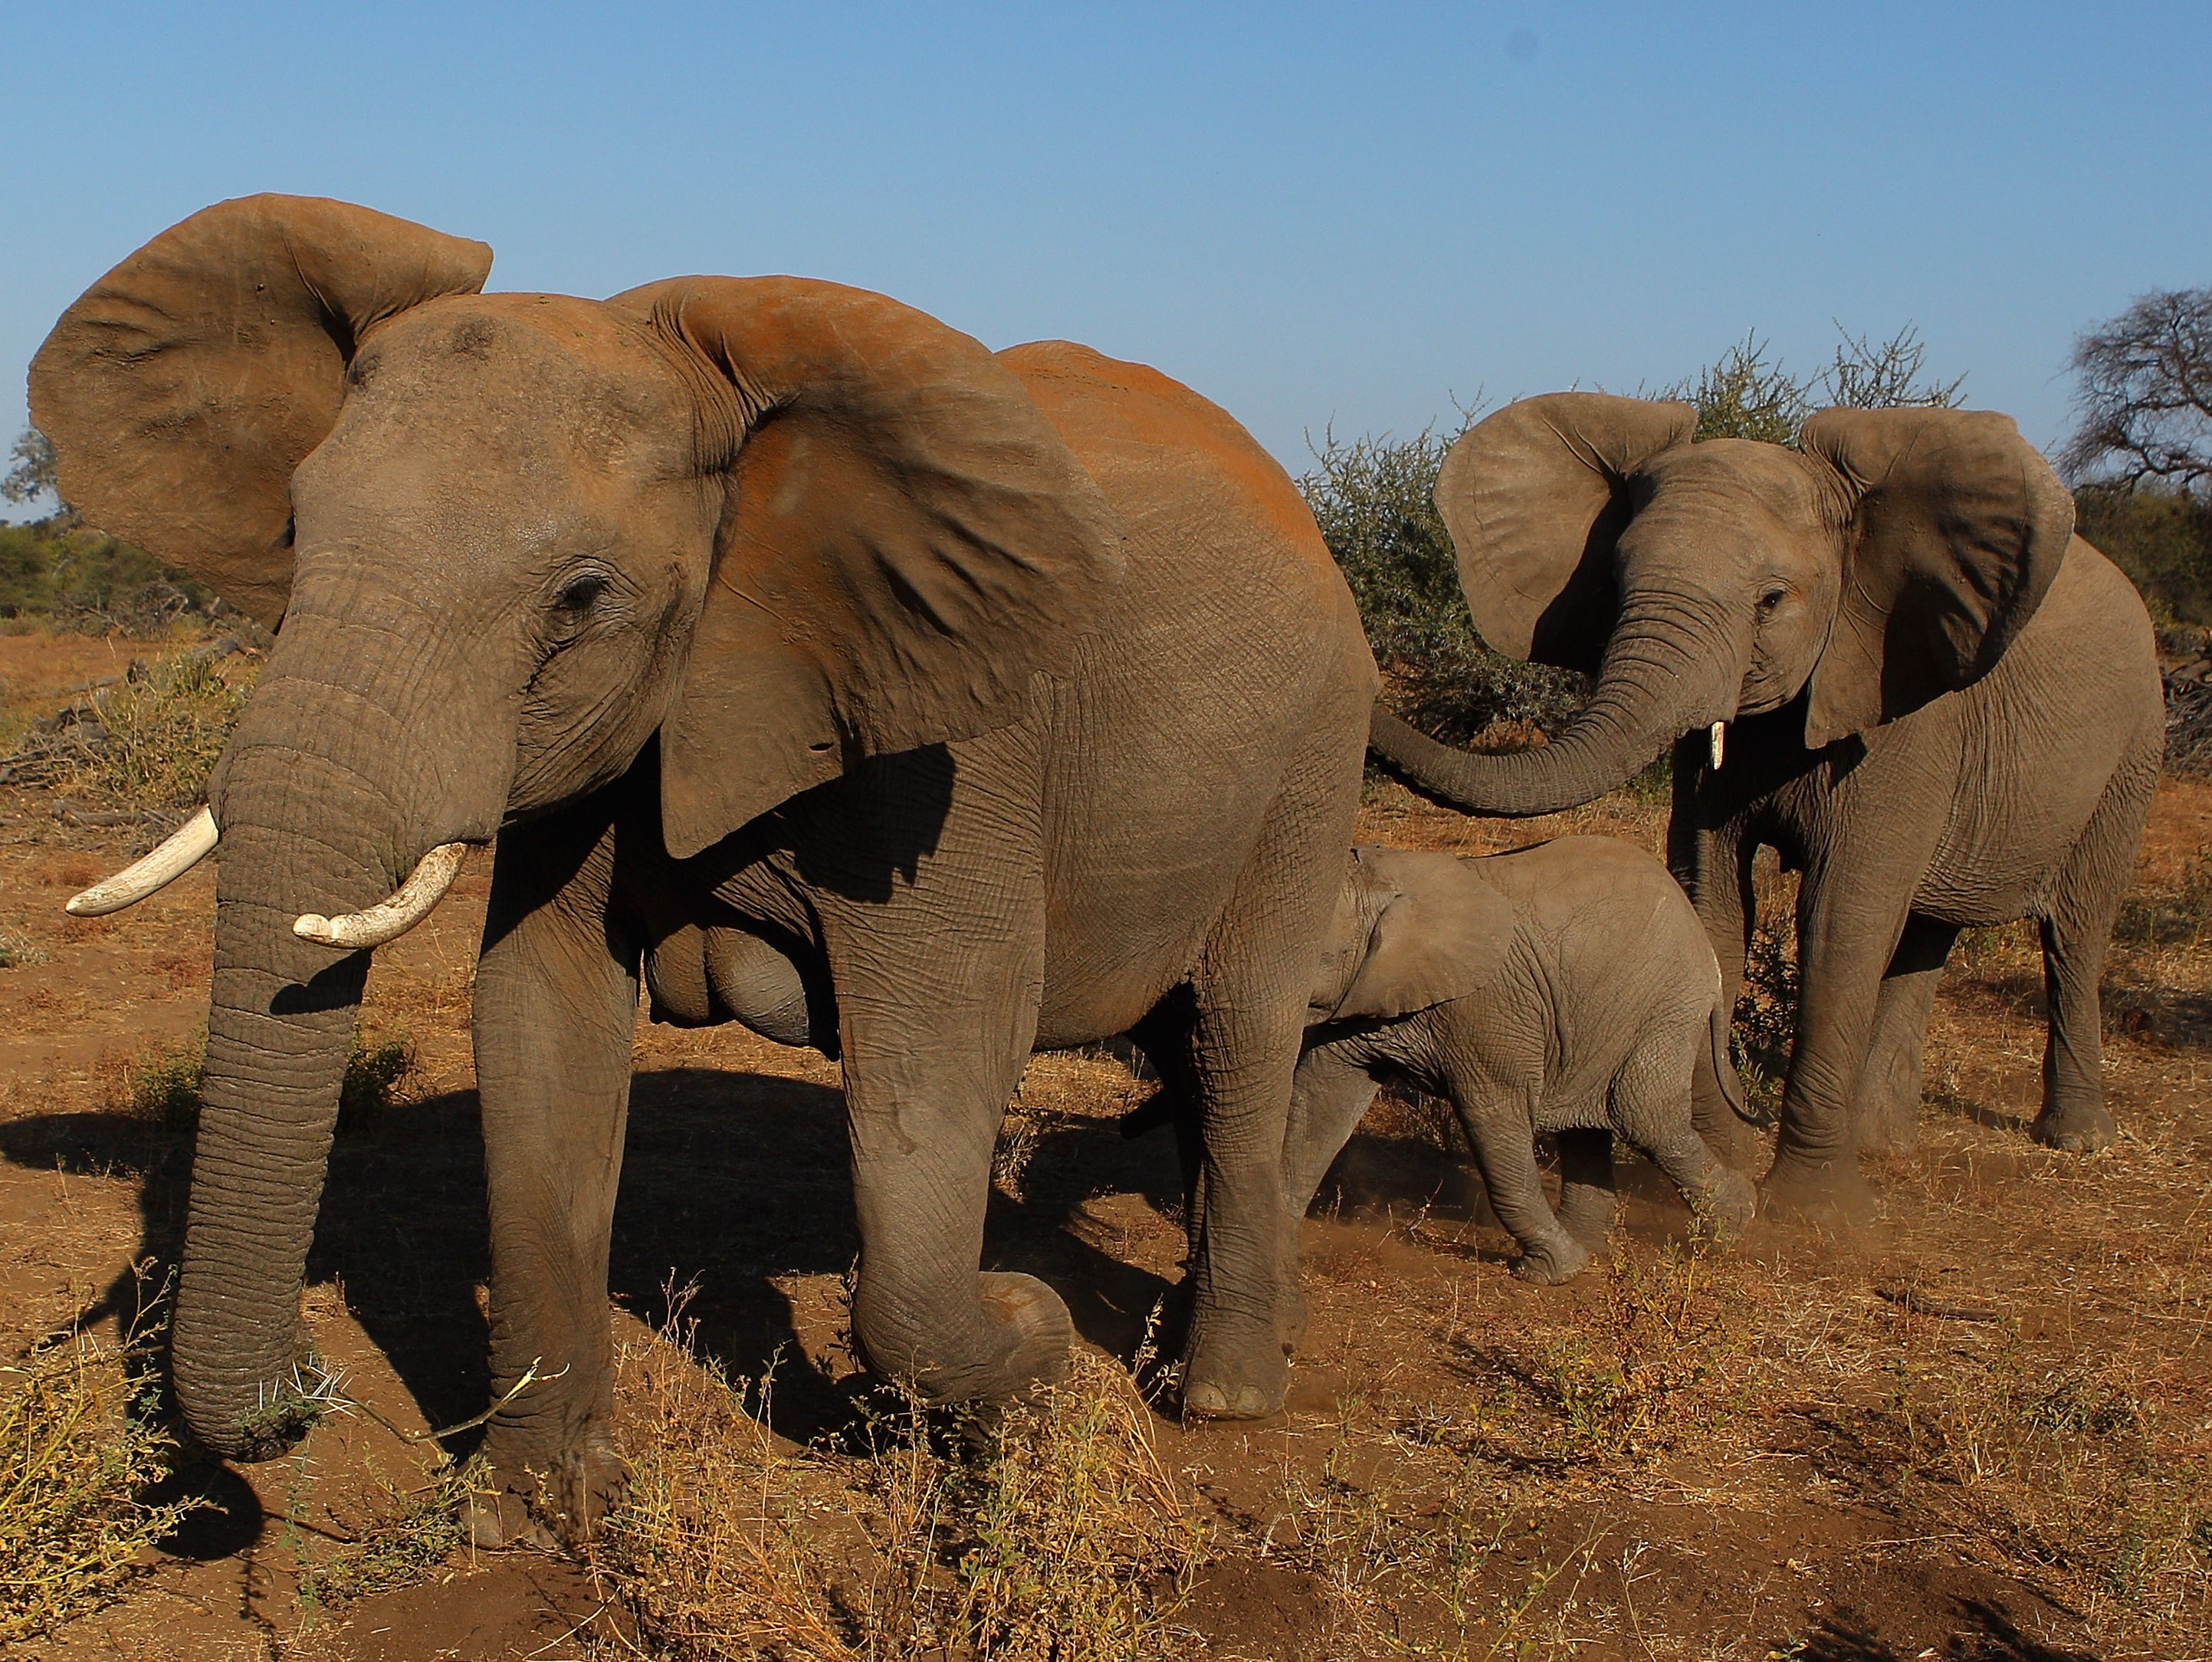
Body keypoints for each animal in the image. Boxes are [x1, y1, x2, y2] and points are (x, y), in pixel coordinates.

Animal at [33, 194, 1376, 1541]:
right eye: (298, 531)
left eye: (580, 597)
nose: (309, 1394)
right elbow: (538, 1019)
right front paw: (548, 1514)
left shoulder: (948, 758)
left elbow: (942, 1051)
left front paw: (1028, 1340)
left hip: (1312, 757)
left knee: (1236, 1035)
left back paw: (1222, 1392)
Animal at [1279, 839, 1756, 1282]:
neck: (1383, 882)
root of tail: (1703, 941)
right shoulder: (1363, 994)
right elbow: (1321, 1098)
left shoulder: (1488, 1009)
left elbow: (1495, 1116)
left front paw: (1551, 1273)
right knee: (1587, 1125)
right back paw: (1590, 1243)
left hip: (1665, 999)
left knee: (1643, 1114)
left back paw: (1737, 1227)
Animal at [1366, 393, 2165, 1218]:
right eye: (1615, 582)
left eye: (1772, 601)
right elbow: (1713, 895)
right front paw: (1727, 1157)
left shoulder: (1903, 711)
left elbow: (1841, 914)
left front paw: (1812, 1212)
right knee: (1927, 932)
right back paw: (1883, 1143)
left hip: (2135, 744)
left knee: (2077, 925)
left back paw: (2076, 1139)